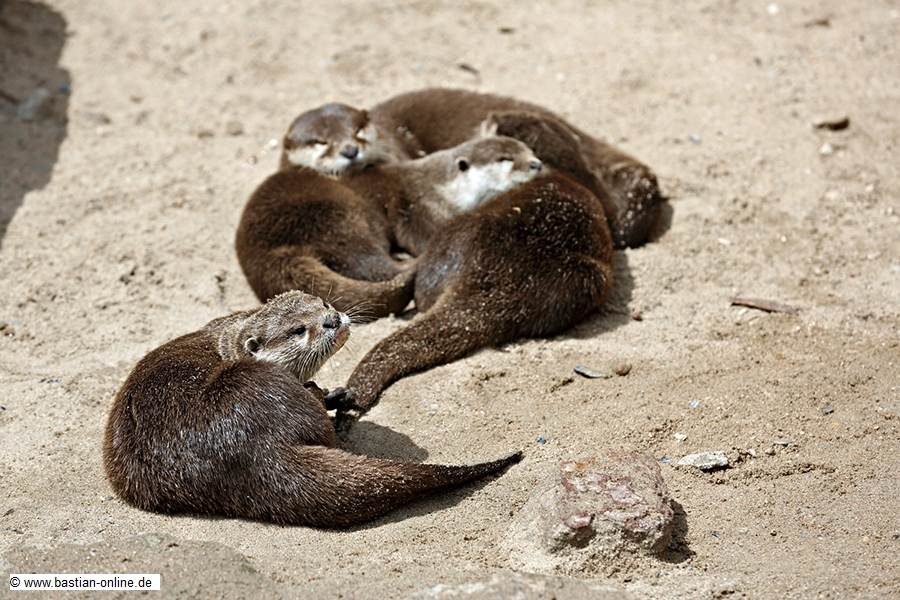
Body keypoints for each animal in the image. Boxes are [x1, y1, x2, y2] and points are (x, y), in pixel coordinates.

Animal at [236, 136, 543, 314]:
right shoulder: (416, 205)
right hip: (339, 215)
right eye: (505, 159)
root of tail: (263, 250)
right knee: (371, 263)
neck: (439, 186)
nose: (536, 164)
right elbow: (422, 232)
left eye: (530, 151)